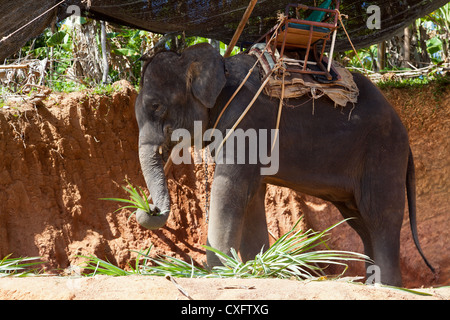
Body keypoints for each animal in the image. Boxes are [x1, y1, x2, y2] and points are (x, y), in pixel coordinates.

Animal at [134, 42, 432, 284]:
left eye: (156, 106)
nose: (147, 207)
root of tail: (404, 134)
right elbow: (251, 195)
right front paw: (258, 269)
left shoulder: (247, 122)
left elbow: (230, 190)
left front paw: (219, 272)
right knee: (359, 219)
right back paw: (371, 284)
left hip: (383, 152)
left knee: (379, 214)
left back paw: (387, 286)